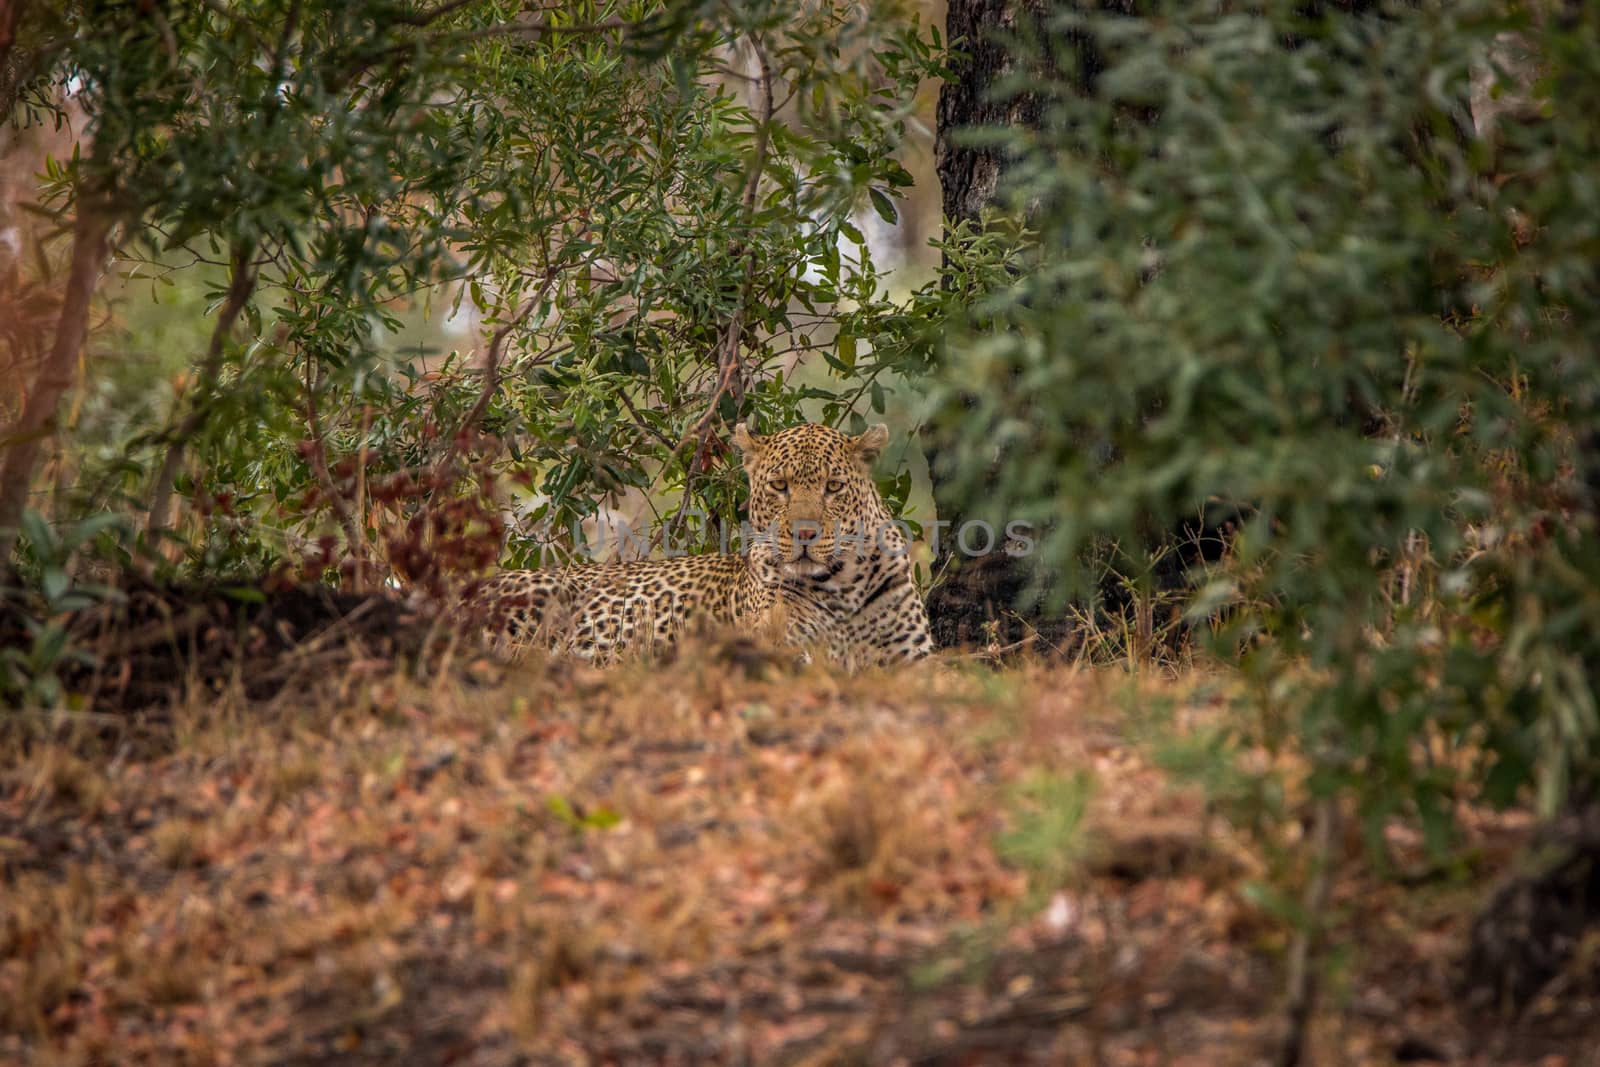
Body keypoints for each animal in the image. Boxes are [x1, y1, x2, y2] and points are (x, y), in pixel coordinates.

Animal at [460, 422, 934, 668]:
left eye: (833, 487)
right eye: (779, 486)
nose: (804, 534)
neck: (844, 586)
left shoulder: (916, 662)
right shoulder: (780, 647)